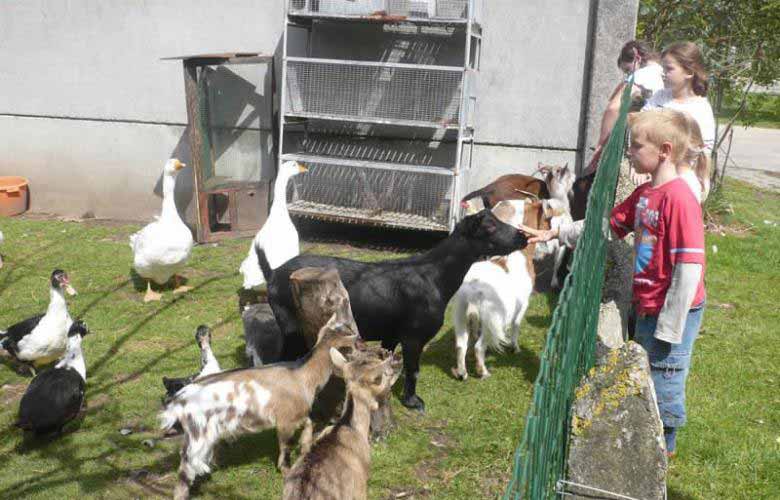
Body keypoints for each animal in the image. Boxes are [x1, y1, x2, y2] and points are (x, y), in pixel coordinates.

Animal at [258, 207, 528, 410]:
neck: (433, 275)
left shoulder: (391, 335)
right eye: (489, 227)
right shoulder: (413, 337)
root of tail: (273, 274)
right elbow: (413, 370)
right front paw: (413, 401)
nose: (523, 237)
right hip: (291, 326)